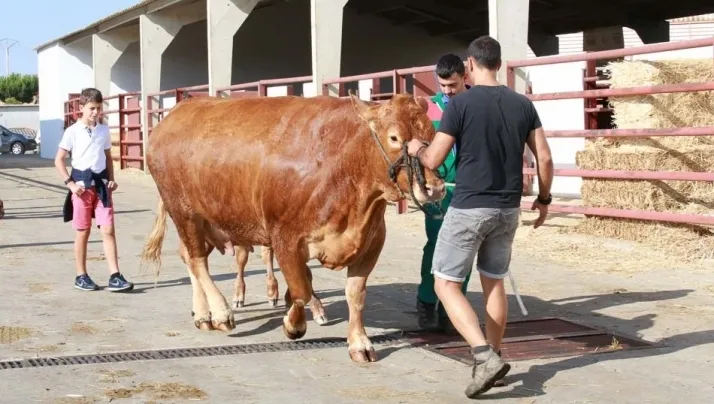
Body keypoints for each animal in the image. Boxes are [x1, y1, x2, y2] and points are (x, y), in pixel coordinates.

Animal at [140, 92, 446, 362]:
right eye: (394, 137)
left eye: (432, 133)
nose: (435, 188)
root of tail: (180, 110)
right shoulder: (285, 238)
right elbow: (301, 289)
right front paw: (293, 323)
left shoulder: (371, 243)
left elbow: (355, 295)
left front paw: (360, 343)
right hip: (183, 212)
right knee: (197, 260)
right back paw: (220, 312)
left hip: (201, 220)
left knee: (190, 257)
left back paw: (202, 313)